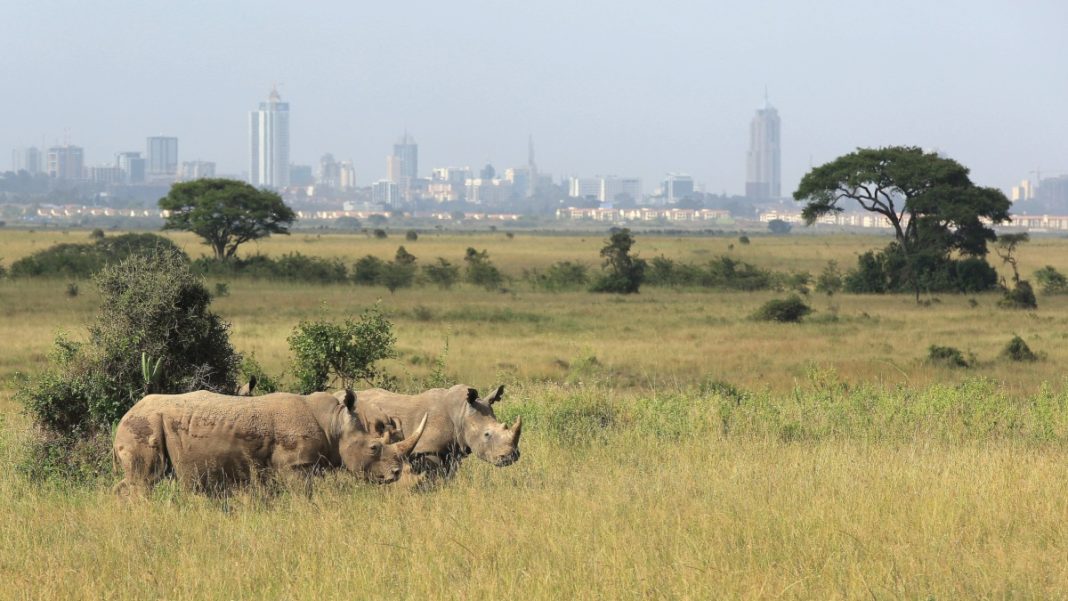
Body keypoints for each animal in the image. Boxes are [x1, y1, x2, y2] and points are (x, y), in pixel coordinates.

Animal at [110, 388, 422, 495]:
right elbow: (303, 496)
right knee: (145, 479)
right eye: (374, 447)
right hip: (144, 424)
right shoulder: (295, 466)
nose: (396, 474)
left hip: (146, 423)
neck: (335, 424)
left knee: (135, 479)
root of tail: (125, 414)